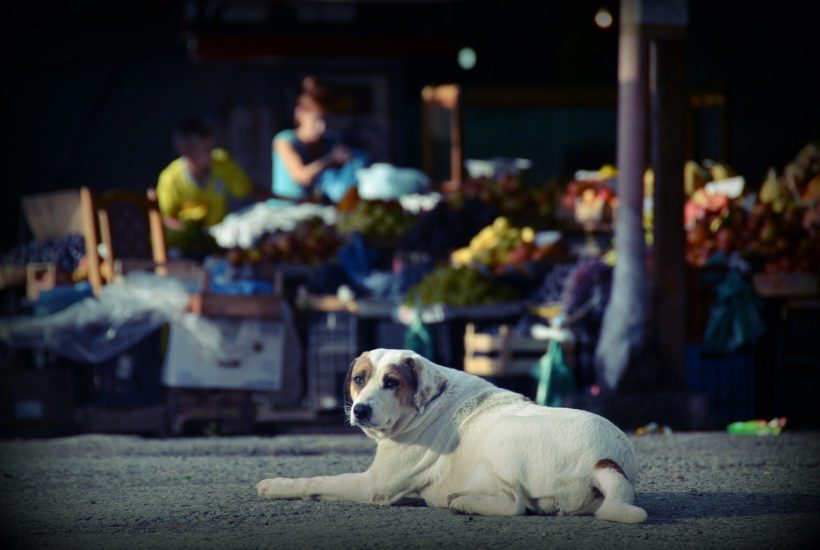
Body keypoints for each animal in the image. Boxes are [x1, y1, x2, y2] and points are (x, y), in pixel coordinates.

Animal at [256, 350, 648, 528]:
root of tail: (605, 460)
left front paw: (276, 485)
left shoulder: (374, 485)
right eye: (359, 378)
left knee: (515, 504)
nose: (360, 410)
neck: (426, 405)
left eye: (391, 382)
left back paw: (464, 502)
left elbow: (318, 479)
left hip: (503, 437)